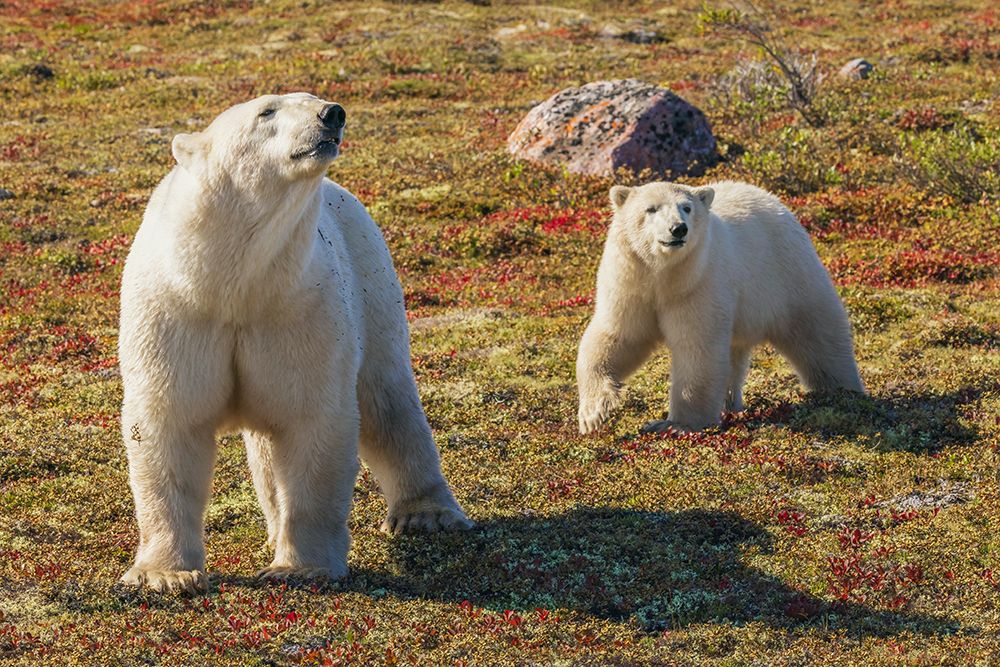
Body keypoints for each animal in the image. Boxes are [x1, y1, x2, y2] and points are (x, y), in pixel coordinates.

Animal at [118, 93, 472, 594]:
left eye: (314, 98)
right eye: (266, 111)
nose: (332, 114)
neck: (231, 283)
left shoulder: (299, 309)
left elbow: (311, 420)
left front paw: (301, 567)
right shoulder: (177, 314)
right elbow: (169, 422)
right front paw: (165, 574)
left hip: (373, 287)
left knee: (387, 402)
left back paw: (427, 515)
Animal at [577, 180, 864, 435]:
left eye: (686, 208)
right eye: (651, 209)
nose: (678, 229)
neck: (664, 276)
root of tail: (772, 199)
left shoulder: (699, 282)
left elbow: (697, 349)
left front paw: (675, 425)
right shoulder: (631, 283)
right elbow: (619, 337)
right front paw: (593, 414)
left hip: (787, 277)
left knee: (818, 334)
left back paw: (843, 391)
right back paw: (731, 403)